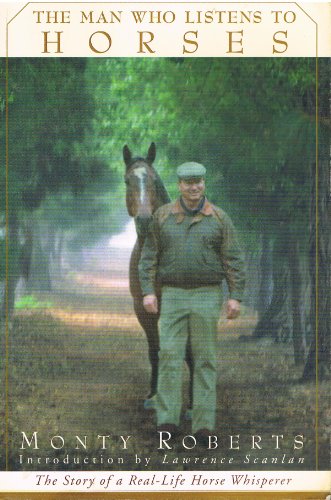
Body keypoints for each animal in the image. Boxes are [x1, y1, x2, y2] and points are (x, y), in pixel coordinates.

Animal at [123, 142, 193, 414]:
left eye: (152, 180)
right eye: (127, 180)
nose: (144, 220)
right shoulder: (143, 308)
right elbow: (155, 350)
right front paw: (153, 395)